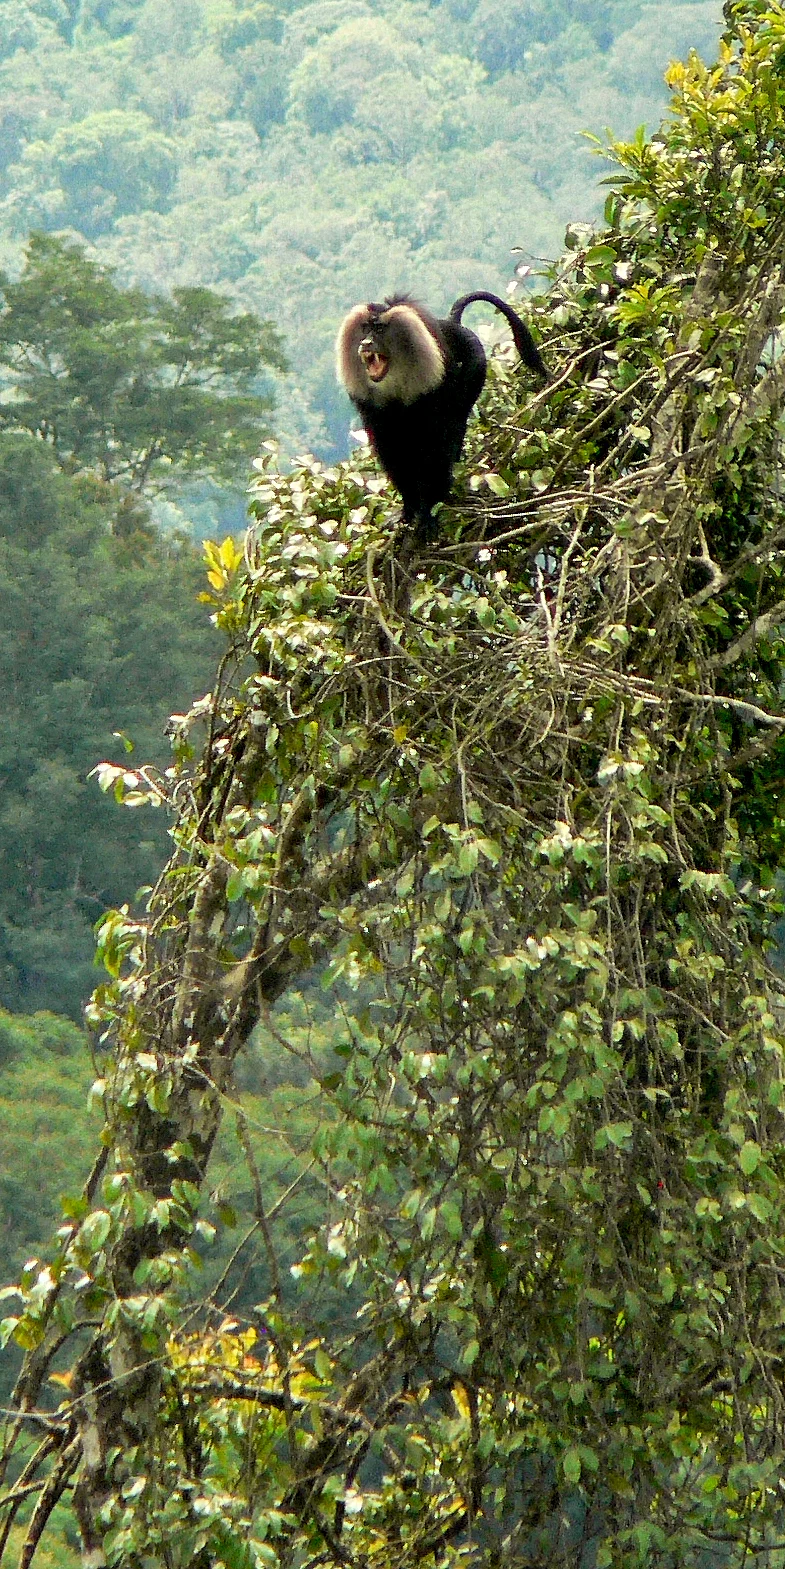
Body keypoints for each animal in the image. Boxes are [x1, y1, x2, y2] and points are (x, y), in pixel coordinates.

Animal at [336, 291, 548, 540]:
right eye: (366, 327)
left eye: (379, 329)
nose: (366, 343)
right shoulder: (374, 413)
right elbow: (394, 455)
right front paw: (409, 511)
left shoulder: (432, 394)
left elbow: (434, 451)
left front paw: (428, 512)